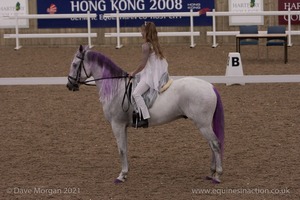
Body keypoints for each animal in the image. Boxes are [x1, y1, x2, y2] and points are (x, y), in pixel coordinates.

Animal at [66, 45, 225, 184]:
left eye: (74, 64)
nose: (69, 85)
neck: (116, 88)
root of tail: (210, 86)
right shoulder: (123, 126)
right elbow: (125, 148)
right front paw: (125, 173)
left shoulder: (117, 125)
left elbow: (121, 149)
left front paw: (121, 176)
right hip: (204, 125)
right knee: (211, 145)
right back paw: (211, 173)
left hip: (203, 125)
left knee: (215, 144)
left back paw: (217, 175)